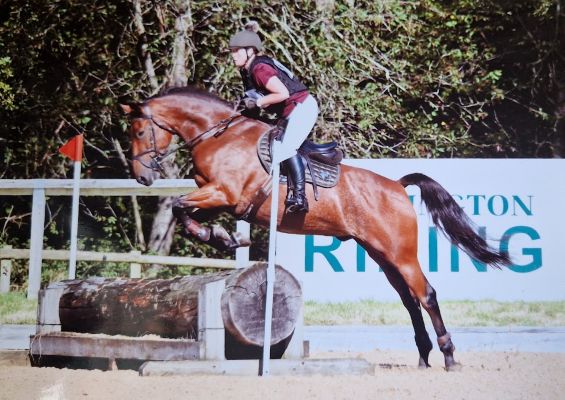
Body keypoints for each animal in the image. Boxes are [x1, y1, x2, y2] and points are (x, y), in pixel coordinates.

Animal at [120, 86, 511, 371]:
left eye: (139, 131)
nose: (142, 178)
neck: (219, 136)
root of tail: (397, 187)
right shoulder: (219, 199)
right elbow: (184, 210)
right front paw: (221, 238)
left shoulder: (225, 193)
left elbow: (179, 204)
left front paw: (217, 238)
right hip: (382, 254)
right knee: (409, 299)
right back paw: (424, 356)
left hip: (400, 253)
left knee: (426, 295)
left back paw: (448, 356)